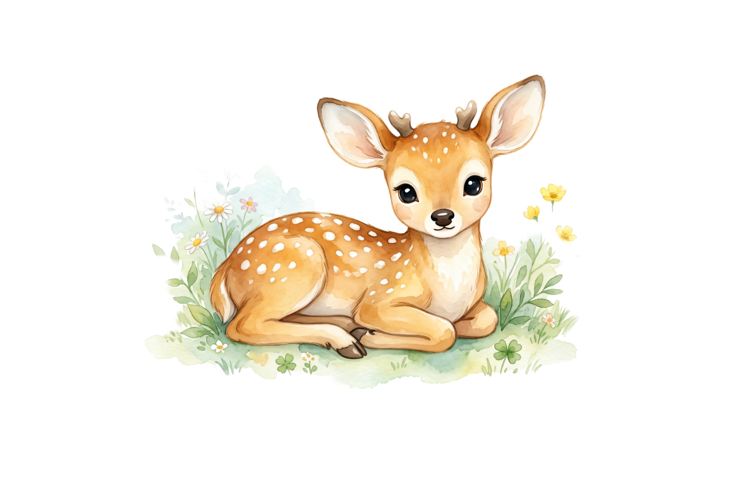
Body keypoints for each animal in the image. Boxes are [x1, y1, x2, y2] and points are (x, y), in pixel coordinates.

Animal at [209, 76, 546, 359]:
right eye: (406, 191)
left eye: (474, 183)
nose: (442, 216)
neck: (448, 289)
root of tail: (226, 267)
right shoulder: (379, 299)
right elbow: (443, 331)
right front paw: (371, 336)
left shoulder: (475, 306)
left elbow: (486, 319)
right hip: (296, 265)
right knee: (242, 325)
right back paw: (345, 339)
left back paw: (345, 327)